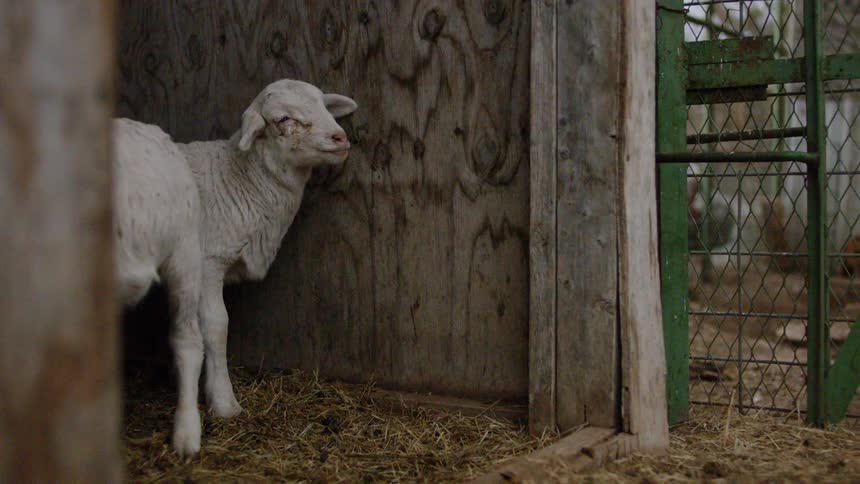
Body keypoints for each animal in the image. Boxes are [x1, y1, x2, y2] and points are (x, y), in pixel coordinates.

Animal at [114, 79, 358, 456]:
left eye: (323, 104)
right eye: (283, 118)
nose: (339, 138)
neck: (238, 178)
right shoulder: (207, 263)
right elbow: (216, 326)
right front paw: (224, 401)